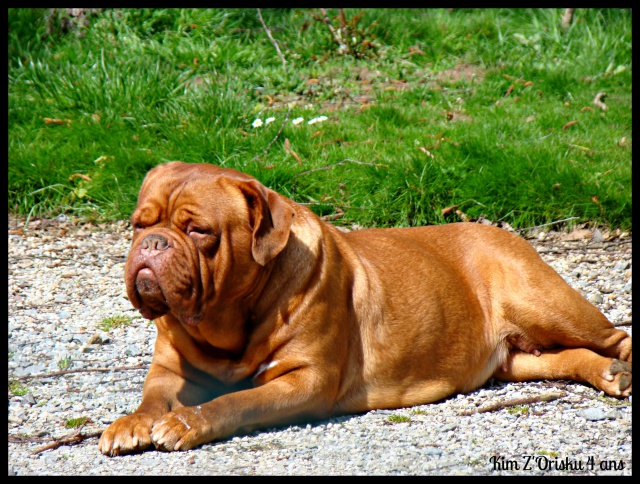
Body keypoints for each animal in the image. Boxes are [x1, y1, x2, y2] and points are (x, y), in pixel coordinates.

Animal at [99, 161, 632, 456]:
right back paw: (608, 374)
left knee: (614, 336)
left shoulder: (305, 379)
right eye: (139, 224)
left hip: (546, 304)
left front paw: (187, 422)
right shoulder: (170, 369)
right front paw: (130, 423)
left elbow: (235, 401)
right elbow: (152, 397)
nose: (152, 244)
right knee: (562, 357)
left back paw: (620, 368)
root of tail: (499, 230)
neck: (229, 324)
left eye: (198, 231)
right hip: (516, 358)